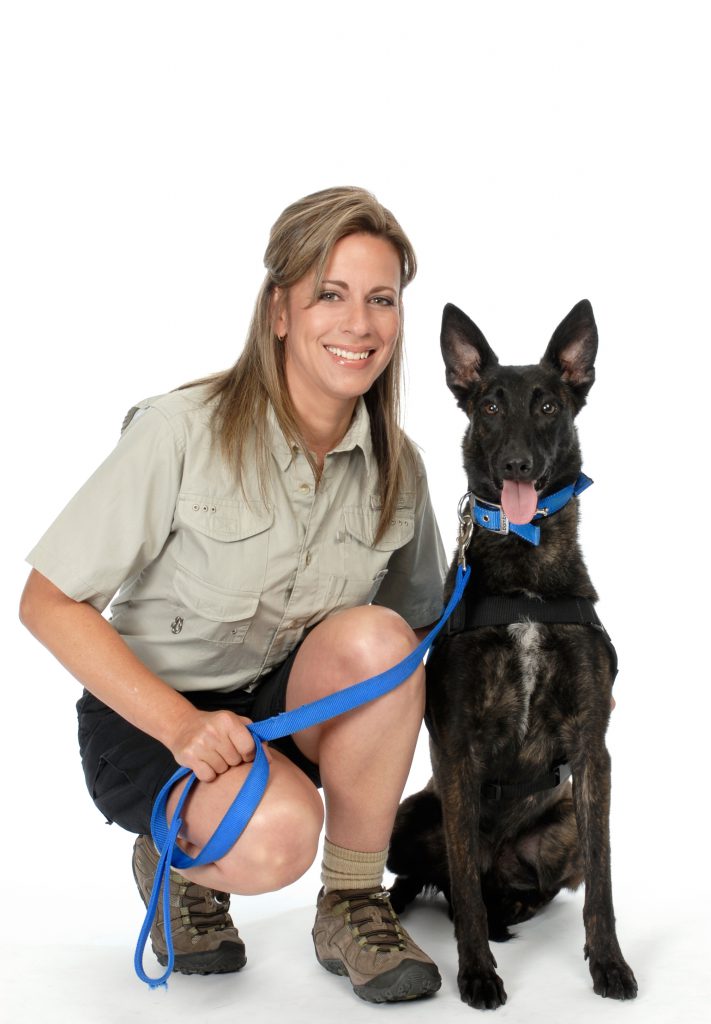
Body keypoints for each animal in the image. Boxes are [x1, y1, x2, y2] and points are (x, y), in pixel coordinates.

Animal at [389, 301, 639, 1007]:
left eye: (549, 406)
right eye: (491, 407)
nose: (518, 465)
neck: (525, 574)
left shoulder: (592, 748)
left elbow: (603, 884)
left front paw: (607, 964)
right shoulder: (455, 748)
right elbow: (462, 887)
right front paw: (476, 971)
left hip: (563, 830)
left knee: (520, 887)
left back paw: (512, 910)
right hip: (411, 818)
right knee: (444, 881)